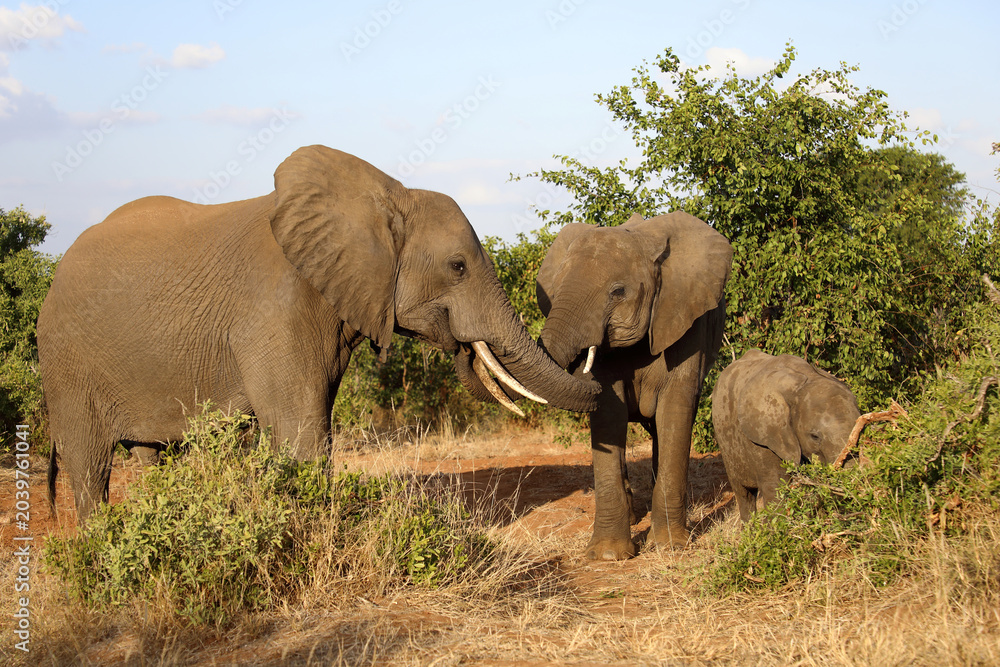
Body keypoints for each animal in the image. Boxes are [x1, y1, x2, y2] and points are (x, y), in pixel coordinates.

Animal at [39, 145, 600, 522]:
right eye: (458, 266)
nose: (465, 348)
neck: (383, 198)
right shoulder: (273, 310)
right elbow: (301, 433)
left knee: (151, 455)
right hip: (67, 363)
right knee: (90, 465)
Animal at [536, 211, 733, 560]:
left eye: (617, 292)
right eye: (555, 289)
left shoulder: (686, 318)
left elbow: (675, 408)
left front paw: (669, 547)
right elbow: (608, 415)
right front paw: (608, 556)